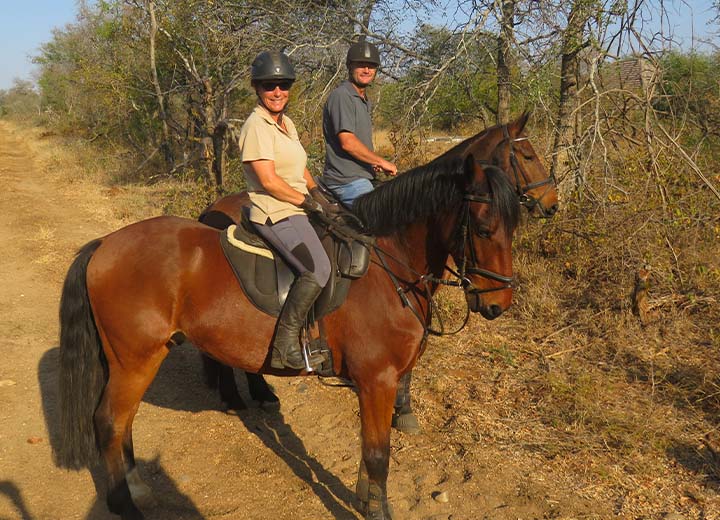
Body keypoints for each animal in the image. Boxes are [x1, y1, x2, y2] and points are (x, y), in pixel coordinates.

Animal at [57, 154, 521, 519]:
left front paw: (364, 499)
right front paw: (377, 511)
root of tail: (104, 245)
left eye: (513, 227)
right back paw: (125, 504)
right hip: (135, 359)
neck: (388, 267)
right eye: (483, 229)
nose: (498, 303)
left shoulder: (378, 384)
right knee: (110, 421)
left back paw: (137, 489)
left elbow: (370, 449)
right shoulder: (378, 381)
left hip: (136, 359)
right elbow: (378, 454)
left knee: (124, 422)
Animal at [198, 112, 559, 427]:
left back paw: (260, 392)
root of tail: (212, 208)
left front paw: (404, 410)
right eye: (528, 156)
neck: (391, 250)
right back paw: (236, 396)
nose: (552, 203)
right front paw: (403, 409)